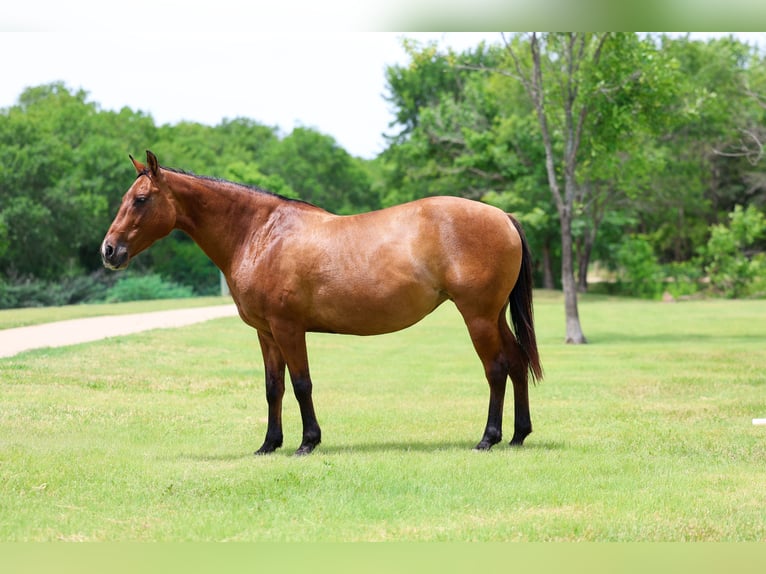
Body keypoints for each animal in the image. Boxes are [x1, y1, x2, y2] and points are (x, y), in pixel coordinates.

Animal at [101, 150, 543, 455]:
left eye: (141, 199)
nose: (108, 251)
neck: (261, 234)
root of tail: (502, 216)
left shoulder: (288, 328)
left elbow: (301, 384)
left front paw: (307, 442)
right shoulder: (266, 333)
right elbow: (273, 387)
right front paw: (269, 444)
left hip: (477, 316)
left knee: (496, 369)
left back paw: (489, 438)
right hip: (493, 315)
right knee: (517, 362)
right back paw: (518, 435)